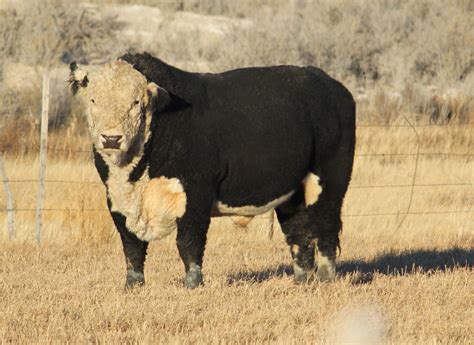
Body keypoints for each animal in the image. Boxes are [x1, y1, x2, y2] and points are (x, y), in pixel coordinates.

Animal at [68, 53, 354, 288]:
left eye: (136, 102)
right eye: (93, 100)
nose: (111, 138)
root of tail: (332, 85)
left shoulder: (196, 194)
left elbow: (189, 243)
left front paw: (193, 285)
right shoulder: (116, 201)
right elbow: (132, 248)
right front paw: (133, 286)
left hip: (330, 181)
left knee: (326, 229)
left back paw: (326, 279)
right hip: (292, 193)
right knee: (298, 233)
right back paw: (301, 281)